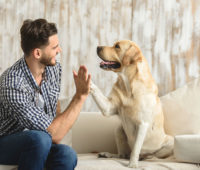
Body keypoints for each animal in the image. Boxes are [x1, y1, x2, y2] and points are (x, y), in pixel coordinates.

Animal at [90, 40, 174, 169]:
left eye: (117, 47)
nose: (98, 47)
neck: (128, 84)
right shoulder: (108, 108)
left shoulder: (142, 124)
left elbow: (135, 149)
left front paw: (133, 164)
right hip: (118, 130)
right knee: (122, 155)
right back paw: (107, 154)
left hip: (170, 142)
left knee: (152, 156)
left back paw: (147, 157)